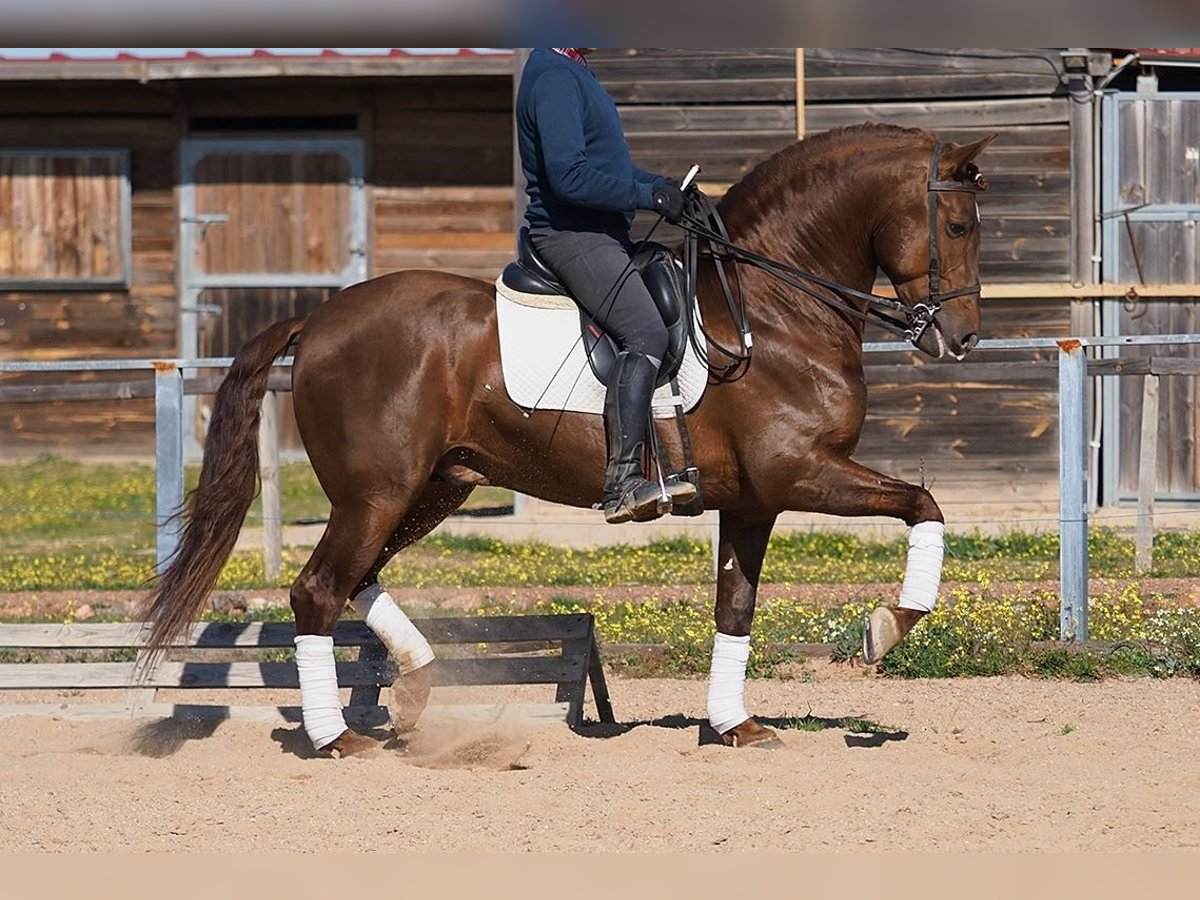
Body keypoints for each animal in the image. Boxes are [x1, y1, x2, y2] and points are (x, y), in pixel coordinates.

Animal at [145, 120, 998, 753]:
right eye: (957, 225)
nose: (959, 339)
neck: (771, 305)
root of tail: (318, 318)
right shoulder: (799, 471)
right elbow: (924, 504)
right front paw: (889, 626)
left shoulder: (755, 501)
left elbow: (735, 607)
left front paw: (734, 725)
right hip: (377, 493)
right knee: (318, 589)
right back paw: (334, 738)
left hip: (432, 488)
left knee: (356, 578)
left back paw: (415, 687)